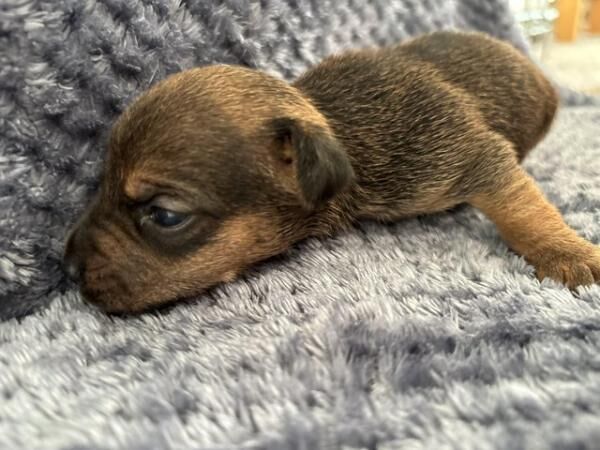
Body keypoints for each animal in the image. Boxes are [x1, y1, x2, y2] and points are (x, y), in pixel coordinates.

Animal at [62, 30, 600, 312]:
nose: (66, 266)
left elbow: (520, 207)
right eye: (100, 182)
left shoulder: (462, 154)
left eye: (166, 216)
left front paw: (569, 254)